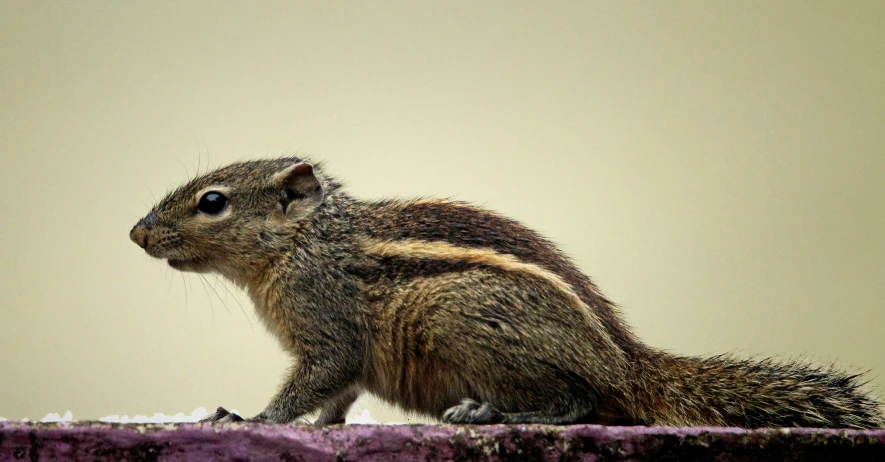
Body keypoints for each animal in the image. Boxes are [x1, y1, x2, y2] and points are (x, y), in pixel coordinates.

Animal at [131, 157, 884, 428]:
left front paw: (251, 419)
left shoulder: (327, 328)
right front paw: (323, 429)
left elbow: (316, 381)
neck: (305, 242)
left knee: (579, 403)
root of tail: (631, 365)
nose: (136, 233)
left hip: (463, 318)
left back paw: (492, 413)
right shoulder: (343, 358)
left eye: (212, 202)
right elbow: (338, 398)